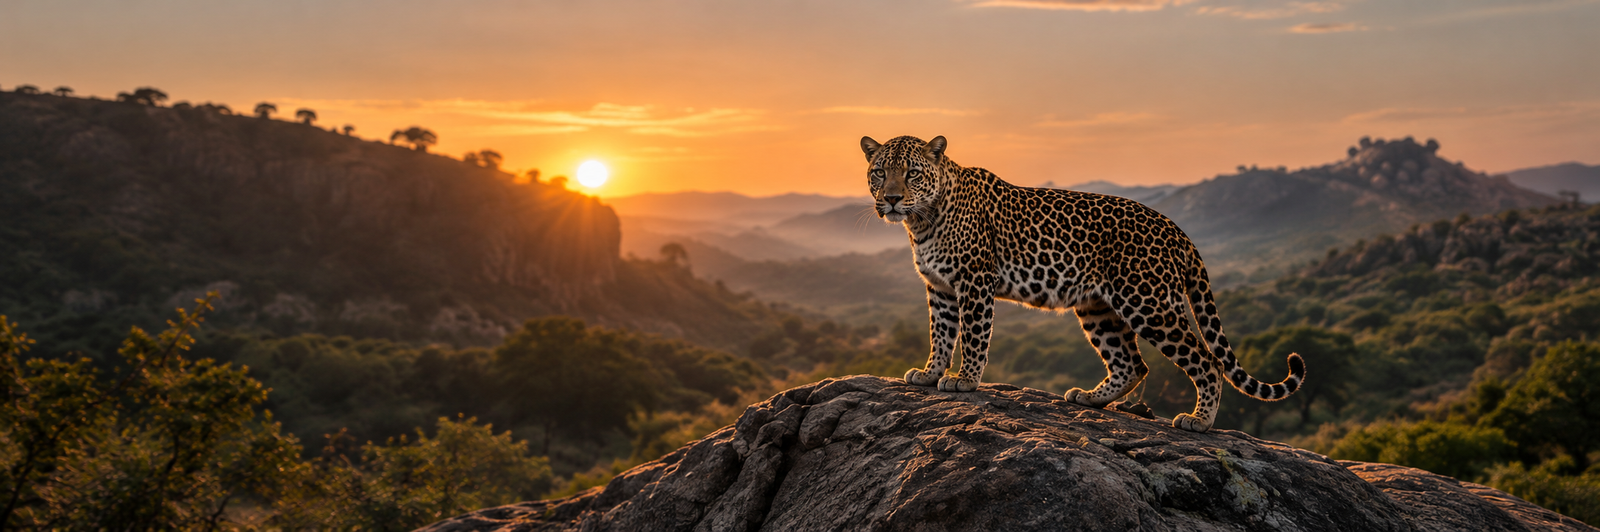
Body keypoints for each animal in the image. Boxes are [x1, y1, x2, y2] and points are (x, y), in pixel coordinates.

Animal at [860, 134, 1305, 432]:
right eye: (880, 172)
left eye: (913, 173)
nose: (893, 198)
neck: (922, 221)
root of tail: (1177, 230)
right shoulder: (940, 288)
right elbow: (940, 334)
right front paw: (930, 373)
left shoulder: (975, 282)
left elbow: (972, 335)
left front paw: (965, 381)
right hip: (1098, 308)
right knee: (1133, 363)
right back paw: (1091, 399)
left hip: (1149, 303)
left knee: (1207, 360)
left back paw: (1199, 421)